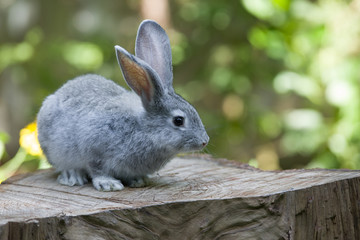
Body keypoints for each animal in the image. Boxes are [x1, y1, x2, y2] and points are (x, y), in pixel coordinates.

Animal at [36, 20, 208, 191]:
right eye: (178, 120)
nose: (204, 141)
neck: (143, 128)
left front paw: (138, 180)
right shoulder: (93, 148)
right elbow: (97, 169)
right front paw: (109, 184)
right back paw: (73, 177)